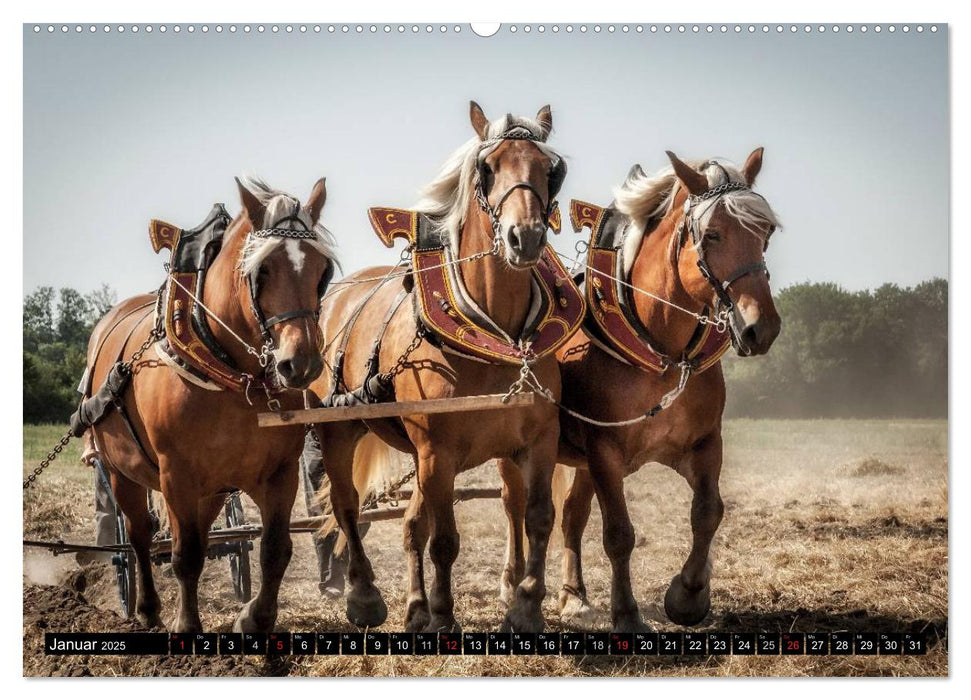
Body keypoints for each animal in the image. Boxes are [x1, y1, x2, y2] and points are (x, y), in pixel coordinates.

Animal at [80, 176, 338, 636]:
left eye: (321, 271)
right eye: (261, 270)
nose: (301, 362)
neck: (231, 372)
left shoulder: (279, 472)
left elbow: (274, 549)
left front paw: (256, 617)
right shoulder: (176, 473)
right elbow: (185, 555)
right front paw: (186, 625)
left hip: (213, 488)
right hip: (121, 471)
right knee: (140, 536)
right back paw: (147, 607)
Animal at [310, 104, 568, 636]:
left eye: (550, 169)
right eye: (487, 168)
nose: (526, 237)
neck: (493, 329)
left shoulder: (536, 440)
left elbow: (536, 516)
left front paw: (526, 604)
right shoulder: (437, 452)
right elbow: (444, 540)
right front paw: (445, 615)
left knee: (414, 525)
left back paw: (414, 606)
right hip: (341, 432)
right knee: (348, 507)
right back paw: (365, 597)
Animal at [498, 146, 784, 628]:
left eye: (765, 232)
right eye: (712, 234)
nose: (760, 328)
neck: (660, 344)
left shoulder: (705, 443)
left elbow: (708, 513)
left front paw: (688, 595)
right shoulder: (605, 452)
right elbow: (619, 534)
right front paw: (628, 613)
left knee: (572, 516)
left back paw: (574, 595)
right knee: (516, 506)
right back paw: (511, 583)